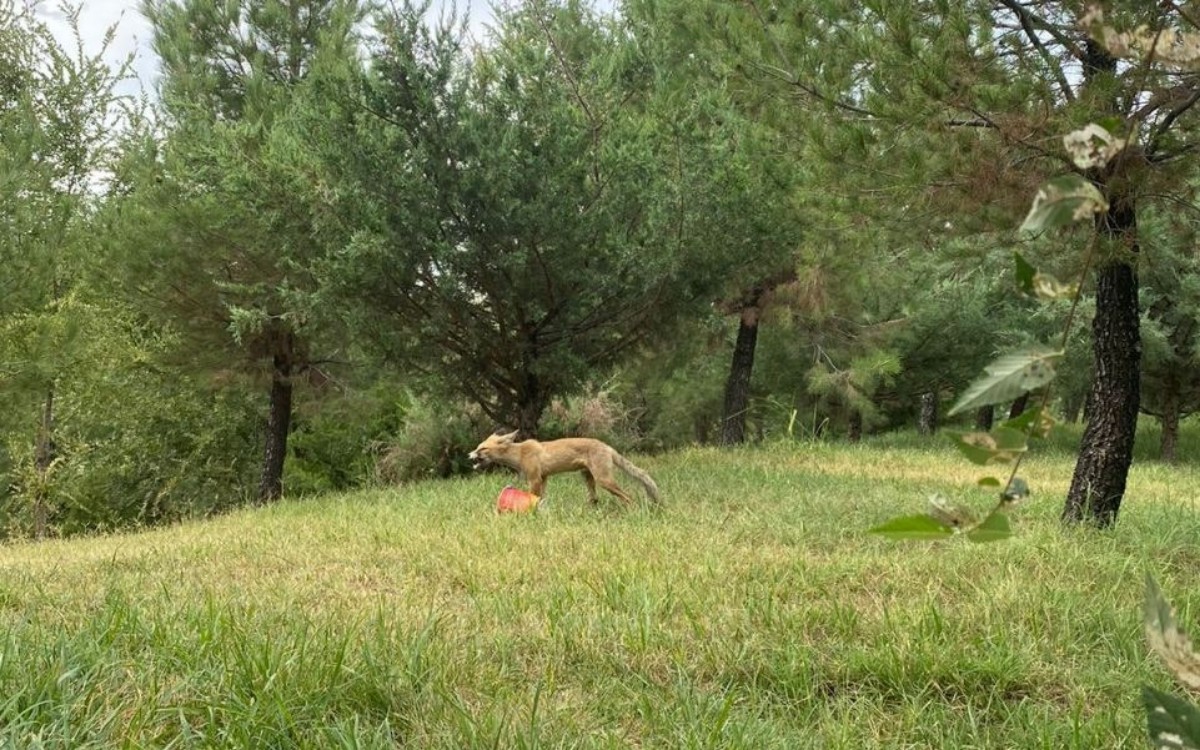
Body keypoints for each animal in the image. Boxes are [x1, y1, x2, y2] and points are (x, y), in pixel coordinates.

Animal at [468, 429, 662, 506]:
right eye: (478, 447)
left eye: (482, 449)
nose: (469, 455)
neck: (520, 453)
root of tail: (606, 446)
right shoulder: (543, 478)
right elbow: (541, 498)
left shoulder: (534, 479)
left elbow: (533, 497)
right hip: (588, 478)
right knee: (595, 499)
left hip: (604, 480)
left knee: (628, 497)